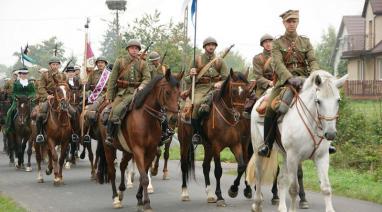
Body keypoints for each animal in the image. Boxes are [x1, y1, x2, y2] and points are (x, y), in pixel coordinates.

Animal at [97, 70, 183, 210]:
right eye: (167, 92)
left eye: (179, 93)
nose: (174, 118)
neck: (146, 118)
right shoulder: (138, 151)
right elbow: (143, 177)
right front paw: (146, 203)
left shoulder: (150, 150)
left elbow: (145, 174)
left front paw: (140, 198)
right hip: (109, 148)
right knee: (112, 171)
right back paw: (115, 198)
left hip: (127, 150)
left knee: (122, 165)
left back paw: (121, 191)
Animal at [180, 70, 254, 206]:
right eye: (234, 91)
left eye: (247, 91)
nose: (240, 115)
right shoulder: (217, 146)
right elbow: (218, 171)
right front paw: (220, 196)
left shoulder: (236, 144)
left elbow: (242, 166)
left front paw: (233, 190)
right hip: (185, 142)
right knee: (184, 165)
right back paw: (185, 193)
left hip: (208, 146)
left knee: (205, 167)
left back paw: (210, 195)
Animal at [246, 70, 348, 212]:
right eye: (318, 101)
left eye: (338, 100)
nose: (331, 134)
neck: (312, 123)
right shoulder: (294, 157)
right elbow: (294, 189)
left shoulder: (322, 157)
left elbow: (326, 187)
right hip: (258, 150)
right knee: (259, 174)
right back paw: (257, 204)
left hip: (285, 155)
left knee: (281, 179)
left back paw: (281, 207)